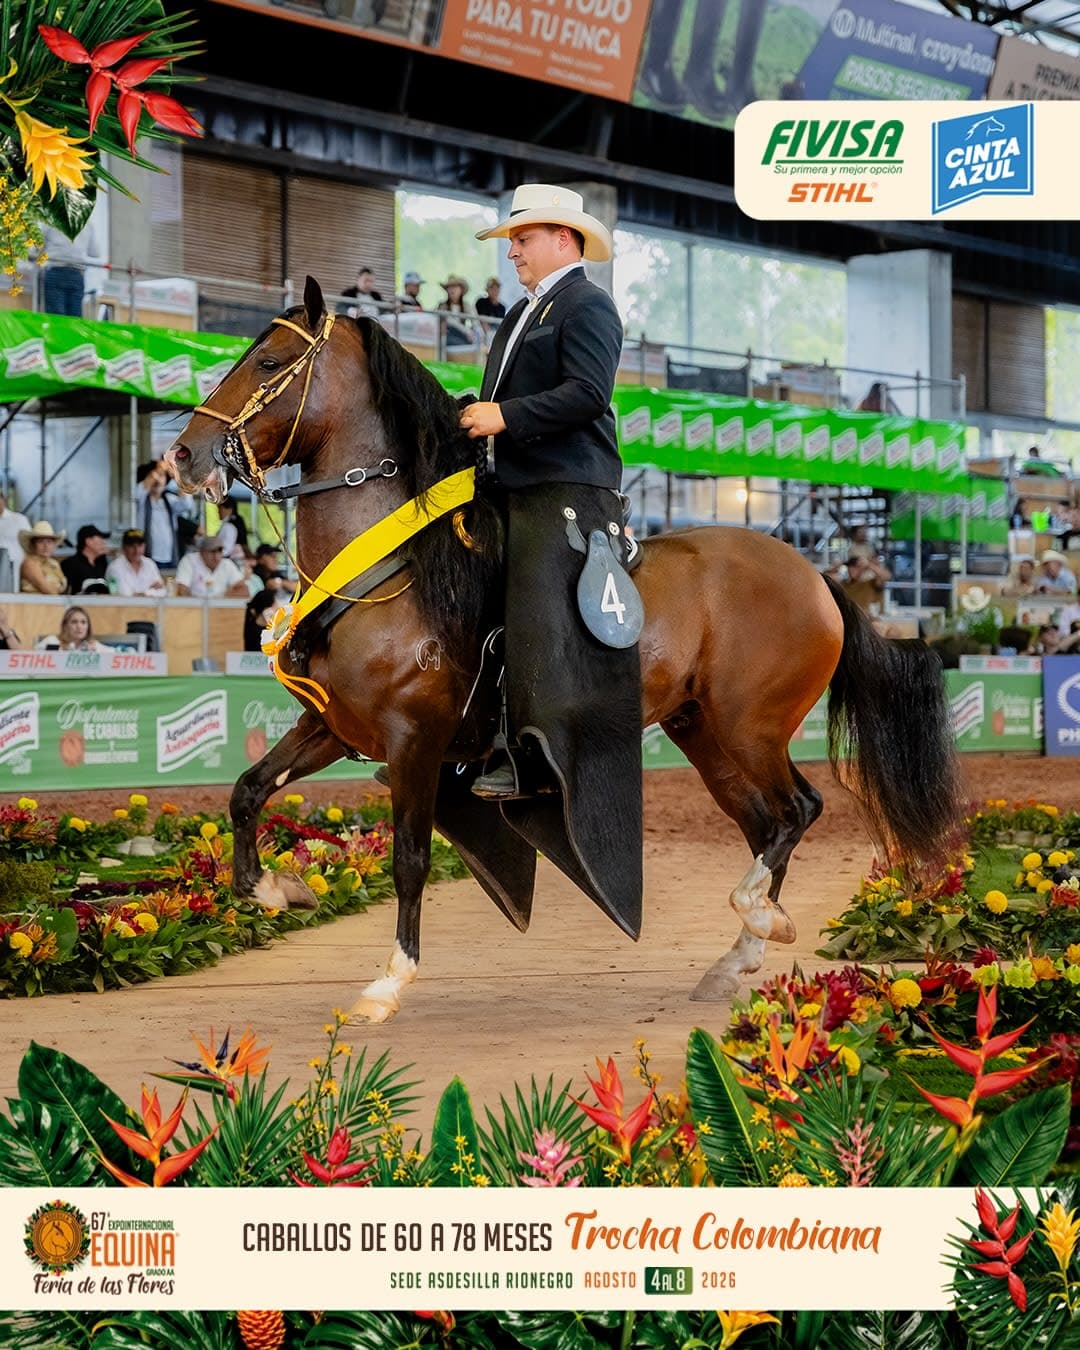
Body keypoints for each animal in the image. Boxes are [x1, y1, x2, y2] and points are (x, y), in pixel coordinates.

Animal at [165, 277, 962, 1024]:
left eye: (269, 361)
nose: (182, 455)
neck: (395, 566)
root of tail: (817, 577)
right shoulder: (333, 725)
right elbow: (247, 791)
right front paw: (277, 890)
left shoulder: (415, 739)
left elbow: (409, 857)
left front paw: (388, 983)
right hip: (704, 734)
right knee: (767, 823)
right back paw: (738, 956)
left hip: (751, 727)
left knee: (798, 809)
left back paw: (756, 918)